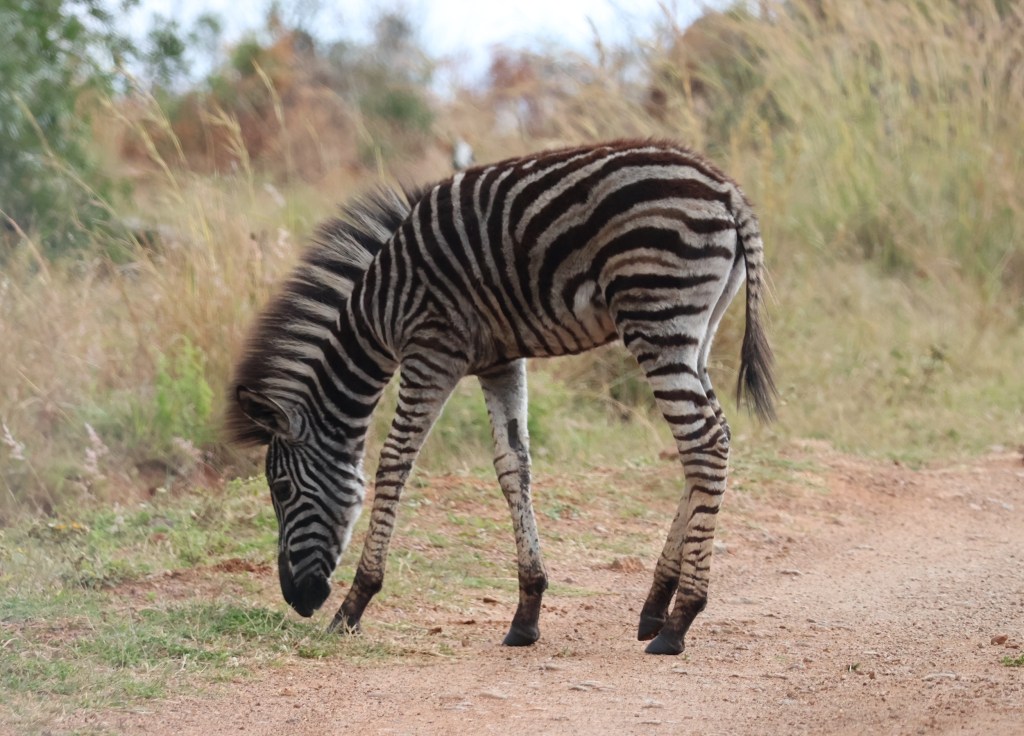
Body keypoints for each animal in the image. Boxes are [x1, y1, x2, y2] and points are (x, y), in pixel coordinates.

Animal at [226, 140, 776, 656]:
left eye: (281, 489)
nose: (297, 599)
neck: (378, 308)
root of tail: (725, 189)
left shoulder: (431, 351)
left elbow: (394, 463)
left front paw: (354, 603)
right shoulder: (499, 362)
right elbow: (514, 465)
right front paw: (527, 611)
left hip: (656, 318)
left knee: (704, 445)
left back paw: (681, 619)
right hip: (695, 334)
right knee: (714, 439)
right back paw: (657, 603)